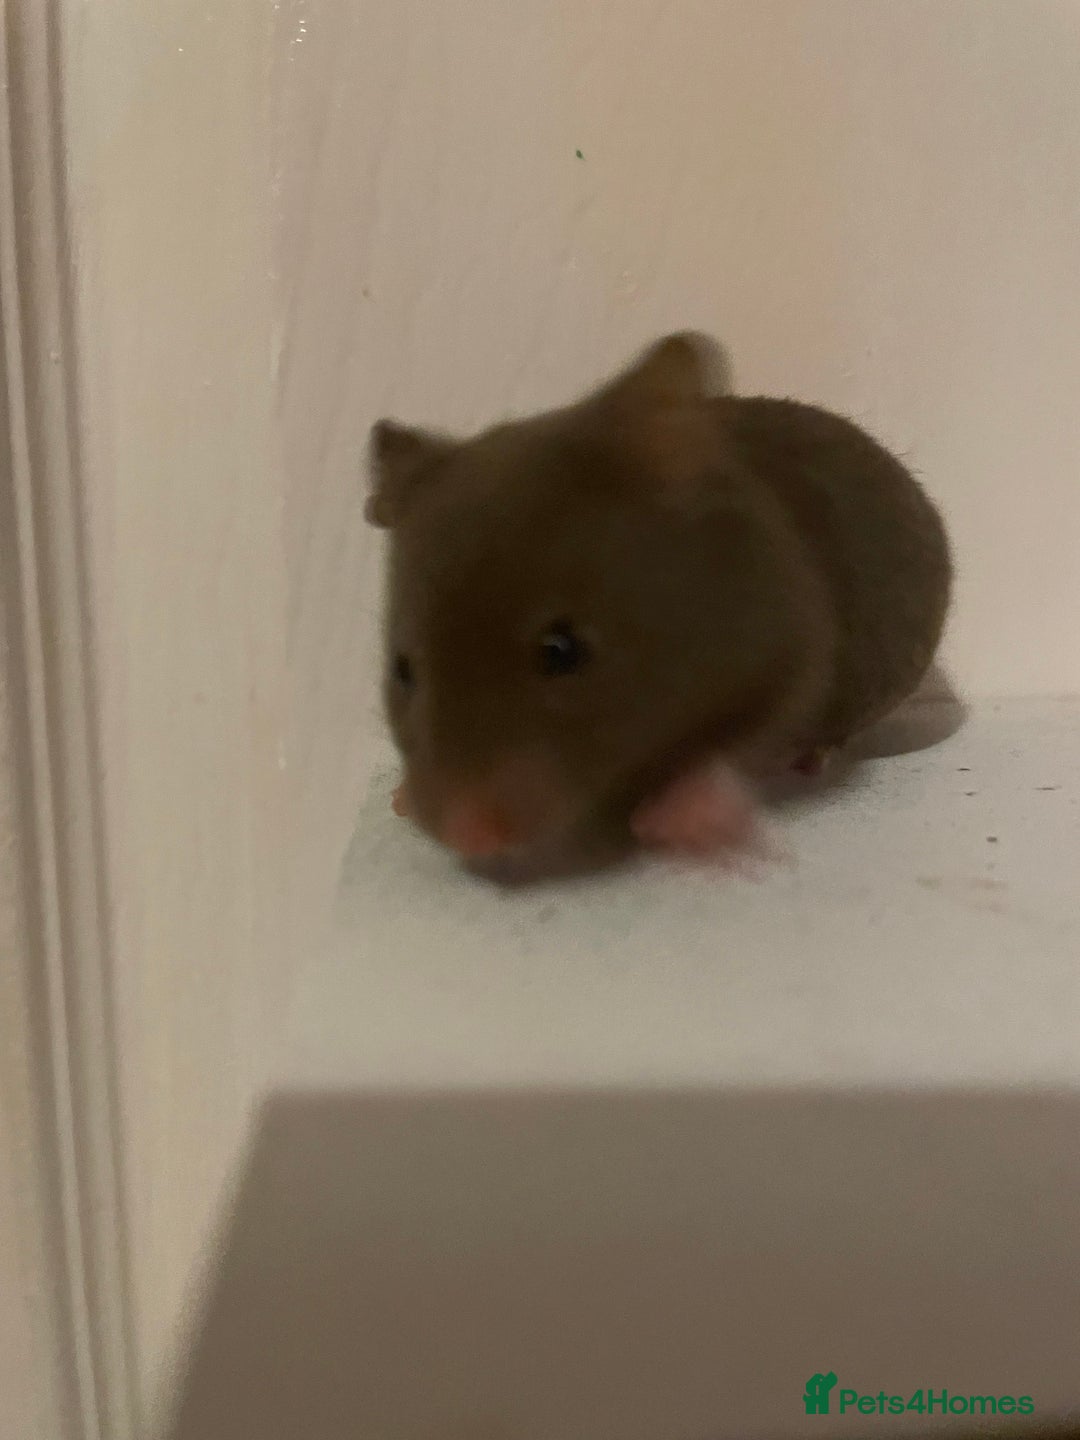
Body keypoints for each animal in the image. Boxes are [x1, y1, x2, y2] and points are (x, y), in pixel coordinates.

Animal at [365, 332, 952, 877]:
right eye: (402, 669)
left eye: (562, 650)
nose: (467, 838)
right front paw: (399, 800)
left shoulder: (797, 658)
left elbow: (740, 745)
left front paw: (676, 826)